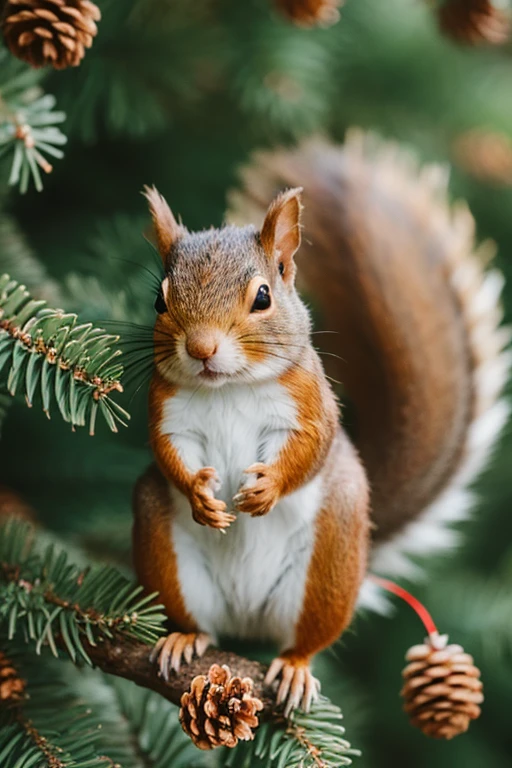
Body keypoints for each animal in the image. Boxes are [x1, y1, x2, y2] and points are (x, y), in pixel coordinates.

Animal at [134, 134, 510, 720]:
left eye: (263, 296)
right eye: (160, 300)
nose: (201, 349)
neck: (228, 389)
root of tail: (247, 619)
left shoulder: (310, 403)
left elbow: (311, 449)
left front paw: (267, 487)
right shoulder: (167, 410)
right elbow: (167, 451)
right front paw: (200, 494)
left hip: (330, 559)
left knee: (306, 639)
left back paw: (293, 667)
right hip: (163, 549)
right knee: (196, 618)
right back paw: (183, 639)